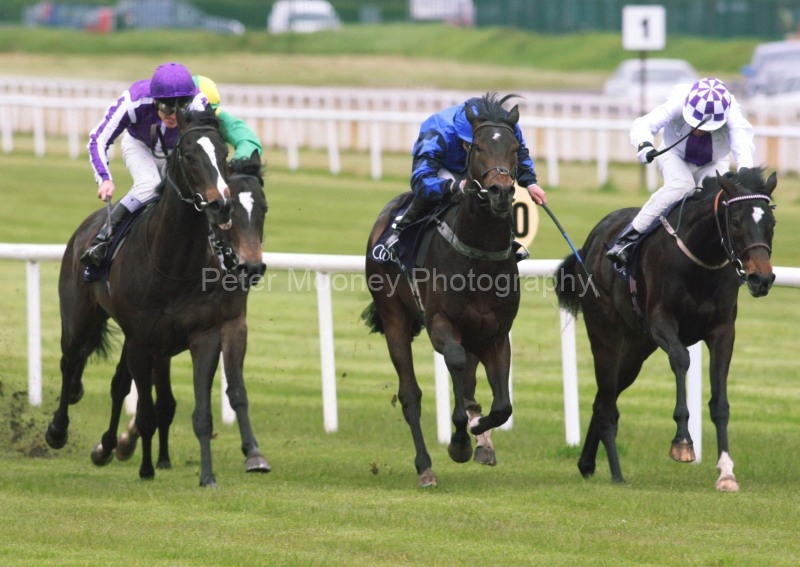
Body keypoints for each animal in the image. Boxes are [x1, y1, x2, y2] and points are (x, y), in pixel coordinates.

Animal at [88, 152, 269, 474]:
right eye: (231, 211)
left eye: (263, 208)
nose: (252, 267)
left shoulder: (233, 324)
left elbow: (236, 389)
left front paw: (253, 452)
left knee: (136, 387)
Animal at [362, 93, 521, 487]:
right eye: (478, 147)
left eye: (515, 148)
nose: (500, 191)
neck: (478, 256)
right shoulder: (441, 323)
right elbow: (456, 366)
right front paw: (459, 441)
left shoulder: (497, 333)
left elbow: (501, 405)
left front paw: (479, 433)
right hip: (394, 316)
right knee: (411, 394)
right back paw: (425, 467)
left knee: (469, 382)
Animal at [554, 167, 777, 491]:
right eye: (735, 222)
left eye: (771, 223)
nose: (762, 278)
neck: (700, 259)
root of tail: (592, 240)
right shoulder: (661, 321)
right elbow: (682, 359)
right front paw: (682, 442)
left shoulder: (723, 331)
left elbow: (720, 402)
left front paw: (726, 471)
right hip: (604, 334)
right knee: (606, 402)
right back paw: (616, 472)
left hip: (636, 347)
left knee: (604, 397)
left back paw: (587, 463)